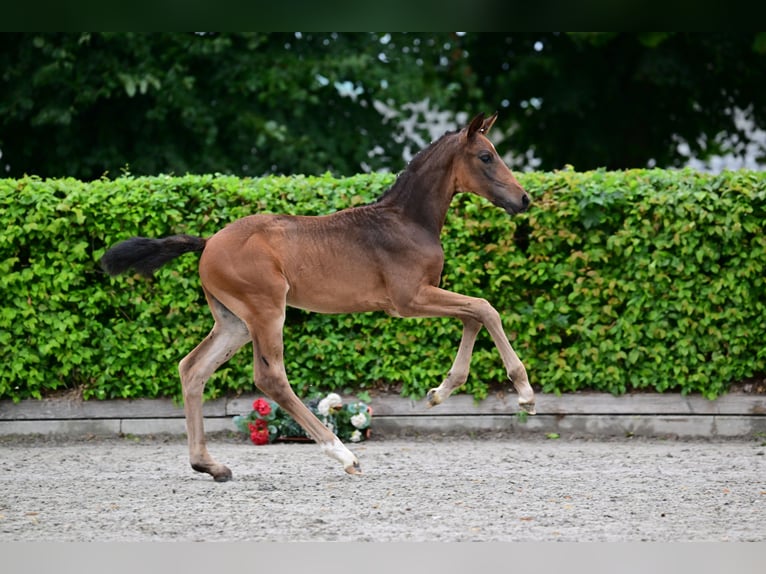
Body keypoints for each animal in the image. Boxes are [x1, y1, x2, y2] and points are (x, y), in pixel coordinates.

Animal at [100, 112, 536, 482]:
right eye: (486, 156)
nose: (524, 199)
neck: (407, 221)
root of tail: (207, 244)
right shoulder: (409, 300)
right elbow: (485, 309)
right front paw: (525, 395)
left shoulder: (420, 297)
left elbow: (472, 316)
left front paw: (439, 392)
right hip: (266, 310)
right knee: (270, 377)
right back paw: (343, 454)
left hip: (233, 322)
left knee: (193, 369)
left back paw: (210, 465)